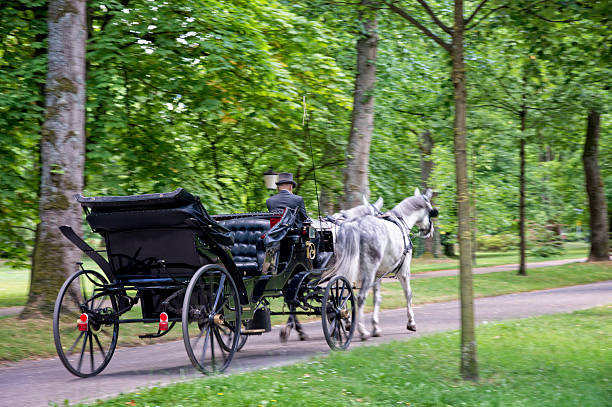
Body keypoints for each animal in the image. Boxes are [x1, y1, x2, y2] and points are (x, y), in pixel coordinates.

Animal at [326, 189, 436, 342]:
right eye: (431, 212)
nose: (431, 231)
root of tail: (355, 225)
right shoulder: (403, 271)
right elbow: (408, 293)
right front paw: (411, 322)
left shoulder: (378, 275)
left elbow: (376, 299)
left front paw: (376, 327)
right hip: (368, 271)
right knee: (359, 297)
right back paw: (361, 331)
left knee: (338, 294)